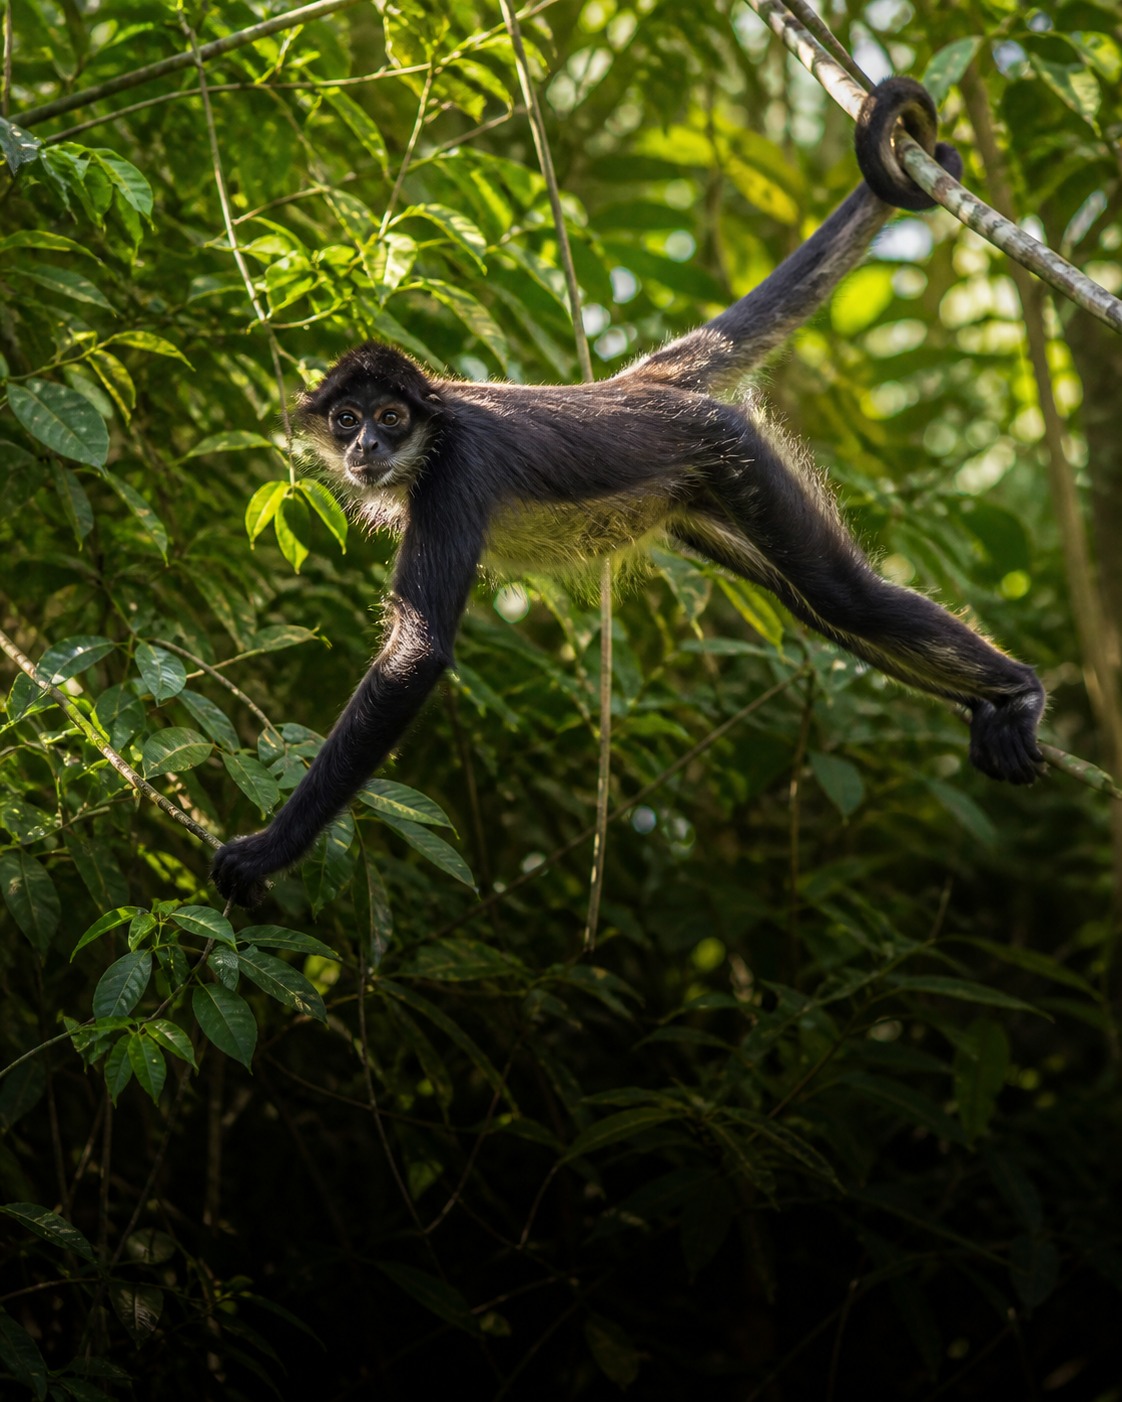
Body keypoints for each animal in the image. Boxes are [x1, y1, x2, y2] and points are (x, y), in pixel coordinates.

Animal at [212, 77, 1044, 907]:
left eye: (391, 417)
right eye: (347, 418)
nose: (367, 449)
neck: (432, 435)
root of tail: (640, 385)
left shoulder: (457, 473)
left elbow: (416, 655)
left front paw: (267, 850)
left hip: (730, 452)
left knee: (843, 597)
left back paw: (1021, 692)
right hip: (697, 497)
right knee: (815, 607)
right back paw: (984, 701)